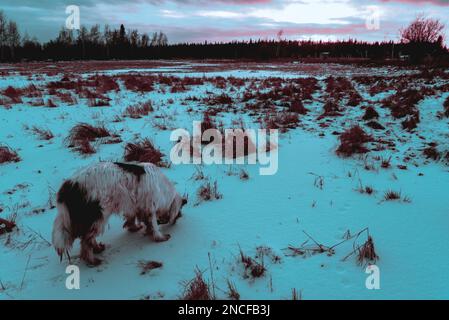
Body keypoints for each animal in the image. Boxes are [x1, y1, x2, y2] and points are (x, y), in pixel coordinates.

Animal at [52, 161, 186, 266]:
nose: (176, 219)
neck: (163, 188)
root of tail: (68, 186)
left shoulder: (134, 206)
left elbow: (134, 219)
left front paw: (136, 228)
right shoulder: (150, 206)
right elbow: (153, 225)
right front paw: (160, 237)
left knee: (88, 238)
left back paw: (97, 249)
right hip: (99, 216)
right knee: (86, 240)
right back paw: (93, 260)